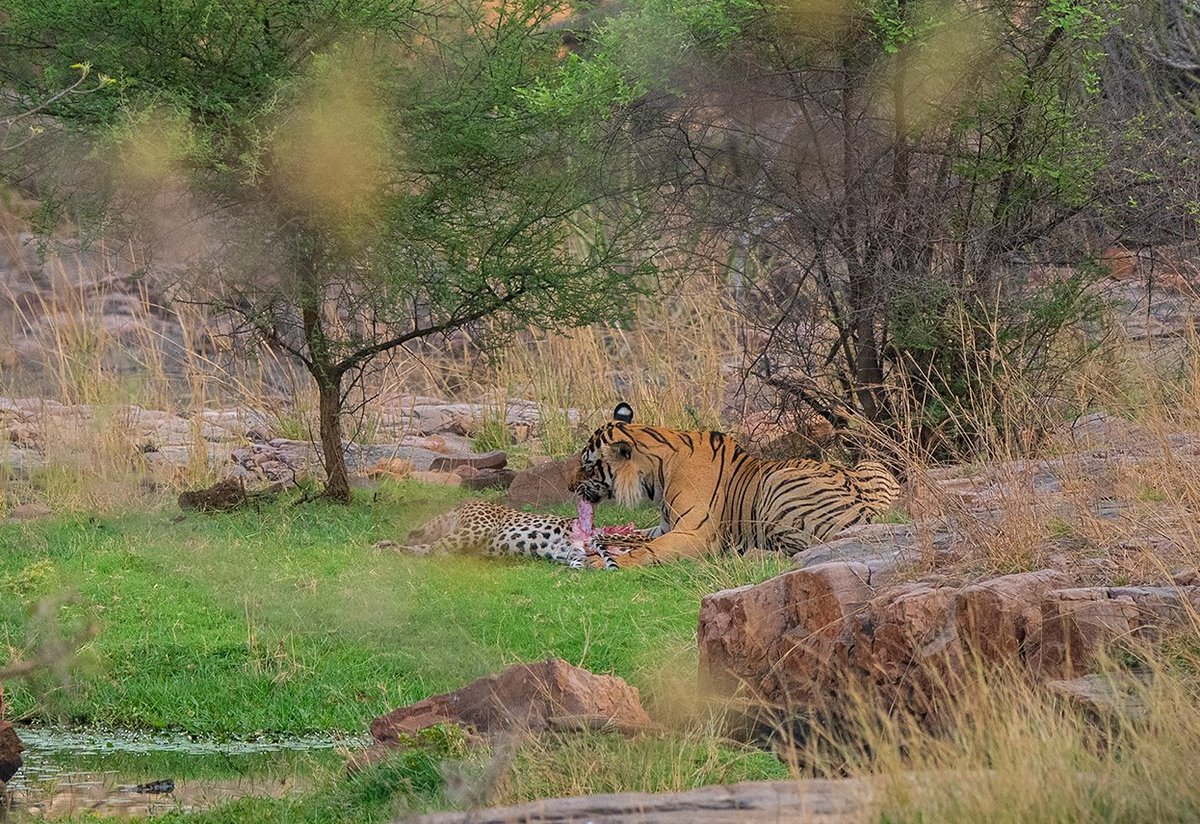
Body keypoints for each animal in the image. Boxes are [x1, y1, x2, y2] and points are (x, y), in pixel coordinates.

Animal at [569, 403, 901, 568]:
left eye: (587, 465)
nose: (570, 486)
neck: (659, 473)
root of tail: (869, 511)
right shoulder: (665, 526)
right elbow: (637, 535)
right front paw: (599, 542)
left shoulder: (693, 532)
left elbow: (649, 549)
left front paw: (604, 562)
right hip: (869, 464)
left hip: (777, 484)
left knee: (801, 548)